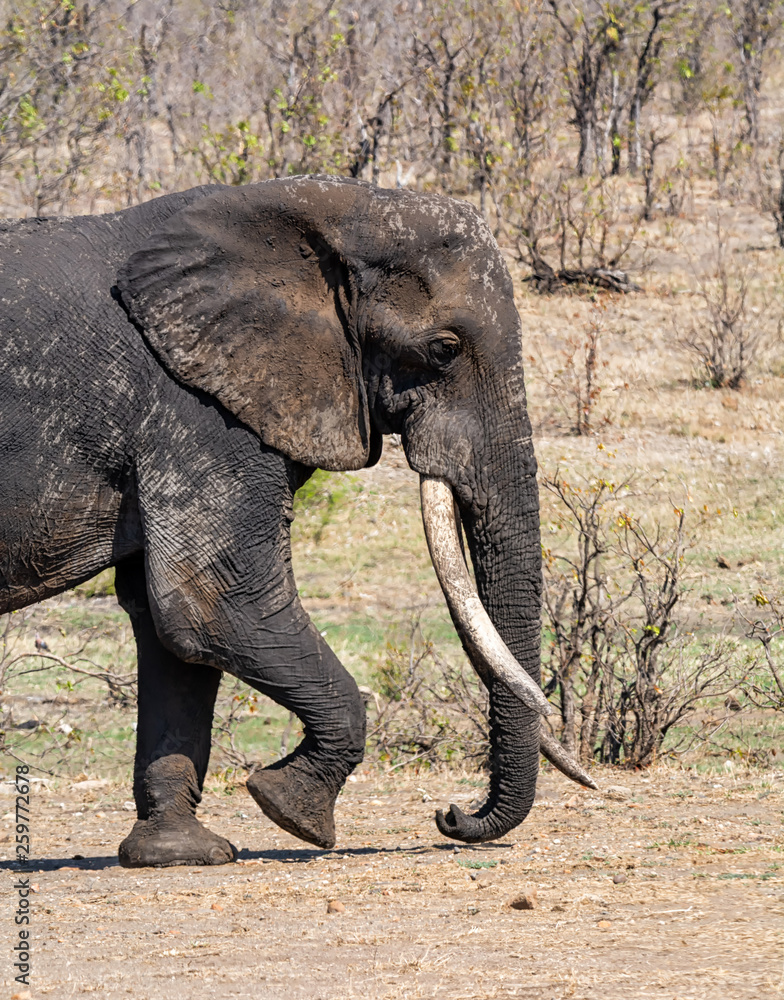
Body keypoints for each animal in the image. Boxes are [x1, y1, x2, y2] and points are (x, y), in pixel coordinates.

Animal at [0, 176, 588, 864]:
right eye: (444, 349)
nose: (450, 814)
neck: (330, 210)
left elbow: (169, 626)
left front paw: (181, 853)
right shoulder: (196, 410)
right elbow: (216, 606)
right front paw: (293, 813)